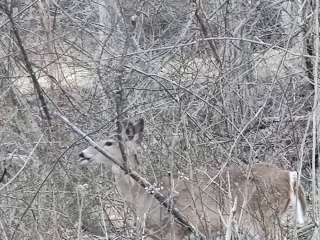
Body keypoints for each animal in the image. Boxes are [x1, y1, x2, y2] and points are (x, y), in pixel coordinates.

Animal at [79, 118, 306, 240]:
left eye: (108, 142)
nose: (82, 154)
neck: (142, 194)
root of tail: (290, 175)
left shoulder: (173, 227)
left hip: (260, 215)